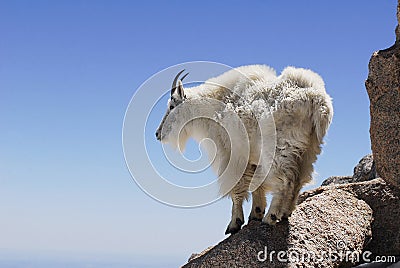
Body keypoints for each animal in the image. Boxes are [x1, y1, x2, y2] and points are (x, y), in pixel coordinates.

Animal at [155, 65, 332, 234]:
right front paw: (255, 213)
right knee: (299, 180)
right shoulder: (252, 157)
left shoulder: (231, 154)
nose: (157, 133)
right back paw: (285, 213)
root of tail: (317, 100)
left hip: (280, 148)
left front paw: (235, 224)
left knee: (285, 180)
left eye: (172, 106)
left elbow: (237, 188)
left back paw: (271, 217)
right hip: (309, 149)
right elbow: (256, 184)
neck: (212, 107)